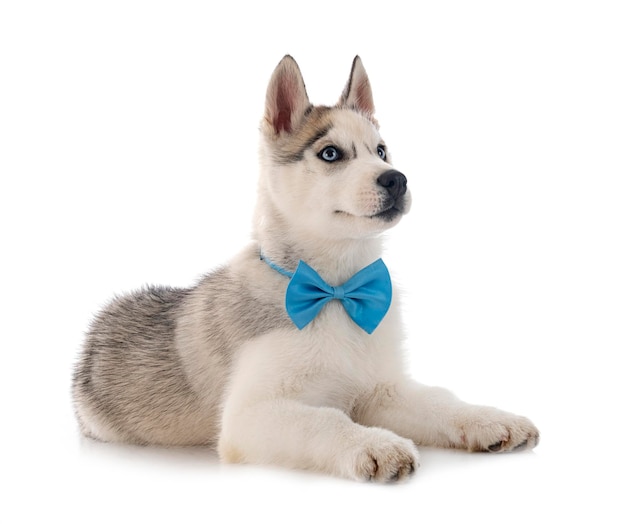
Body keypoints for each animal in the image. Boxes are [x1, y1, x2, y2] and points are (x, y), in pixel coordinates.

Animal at [70, 55, 532, 482]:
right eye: (330, 153)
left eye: (381, 151)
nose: (397, 179)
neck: (337, 290)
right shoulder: (250, 416)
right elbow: (324, 420)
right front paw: (375, 444)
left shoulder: (381, 390)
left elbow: (439, 400)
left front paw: (488, 418)